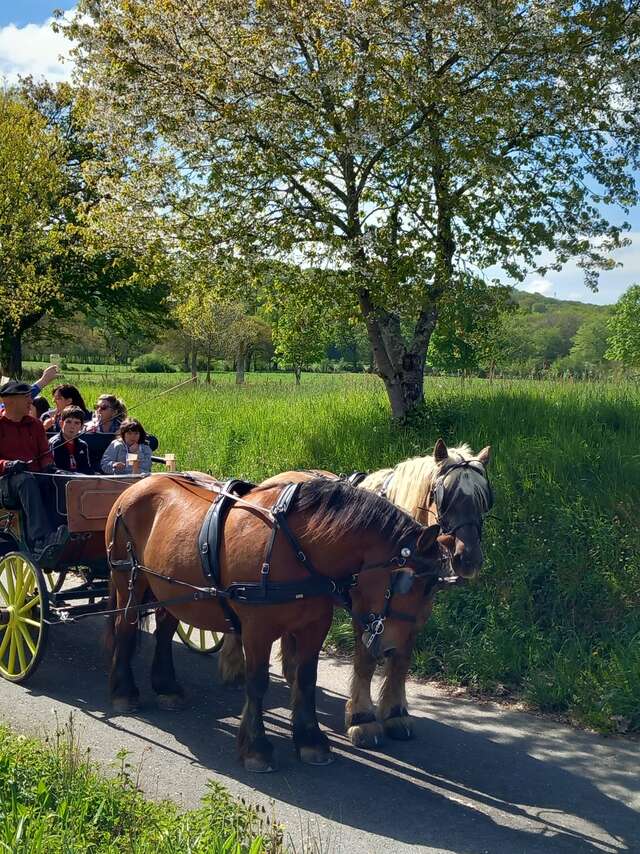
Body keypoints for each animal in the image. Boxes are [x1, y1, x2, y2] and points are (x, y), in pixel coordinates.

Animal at [105, 474, 448, 776]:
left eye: (433, 586)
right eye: (408, 582)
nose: (391, 650)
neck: (296, 548)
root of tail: (134, 487)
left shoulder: (314, 627)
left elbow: (306, 679)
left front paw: (310, 740)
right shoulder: (257, 630)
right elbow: (257, 683)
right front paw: (256, 748)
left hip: (171, 590)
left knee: (164, 631)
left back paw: (167, 687)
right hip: (129, 580)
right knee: (124, 627)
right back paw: (124, 692)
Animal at [218, 442, 492, 748]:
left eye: (484, 499)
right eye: (443, 495)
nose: (469, 559)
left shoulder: (415, 614)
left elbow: (402, 660)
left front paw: (396, 713)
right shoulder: (367, 611)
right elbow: (366, 660)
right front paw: (363, 718)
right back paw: (234, 664)